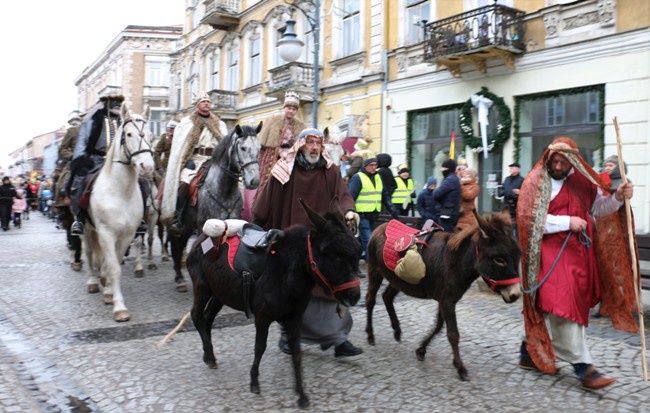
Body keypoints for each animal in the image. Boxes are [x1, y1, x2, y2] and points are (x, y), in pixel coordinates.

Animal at [83, 103, 155, 322]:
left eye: (151, 134)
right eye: (129, 133)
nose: (147, 167)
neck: (120, 192)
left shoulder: (126, 235)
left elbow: (114, 264)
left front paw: (109, 292)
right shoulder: (106, 233)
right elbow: (113, 267)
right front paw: (119, 307)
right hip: (87, 229)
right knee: (89, 252)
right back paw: (92, 281)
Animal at [168, 122, 262, 290]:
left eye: (259, 148)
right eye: (243, 148)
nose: (254, 181)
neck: (223, 189)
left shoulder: (231, 224)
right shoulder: (203, 227)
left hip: (188, 224)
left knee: (181, 242)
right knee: (175, 242)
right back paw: (179, 277)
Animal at [186, 198, 360, 408]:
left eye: (356, 252)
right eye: (334, 255)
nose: (354, 295)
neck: (286, 274)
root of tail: (201, 237)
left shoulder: (295, 318)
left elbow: (296, 352)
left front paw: (302, 395)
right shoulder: (262, 317)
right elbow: (260, 347)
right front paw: (254, 382)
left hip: (220, 293)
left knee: (207, 319)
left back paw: (208, 355)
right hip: (202, 286)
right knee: (196, 316)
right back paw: (210, 356)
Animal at [364, 209, 520, 380]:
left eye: (518, 256)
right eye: (499, 259)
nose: (516, 295)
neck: (457, 261)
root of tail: (381, 226)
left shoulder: (445, 299)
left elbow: (438, 326)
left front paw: (421, 350)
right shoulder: (447, 300)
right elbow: (453, 333)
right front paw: (460, 368)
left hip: (398, 278)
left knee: (387, 297)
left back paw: (397, 331)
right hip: (375, 270)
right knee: (370, 300)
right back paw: (370, 336)